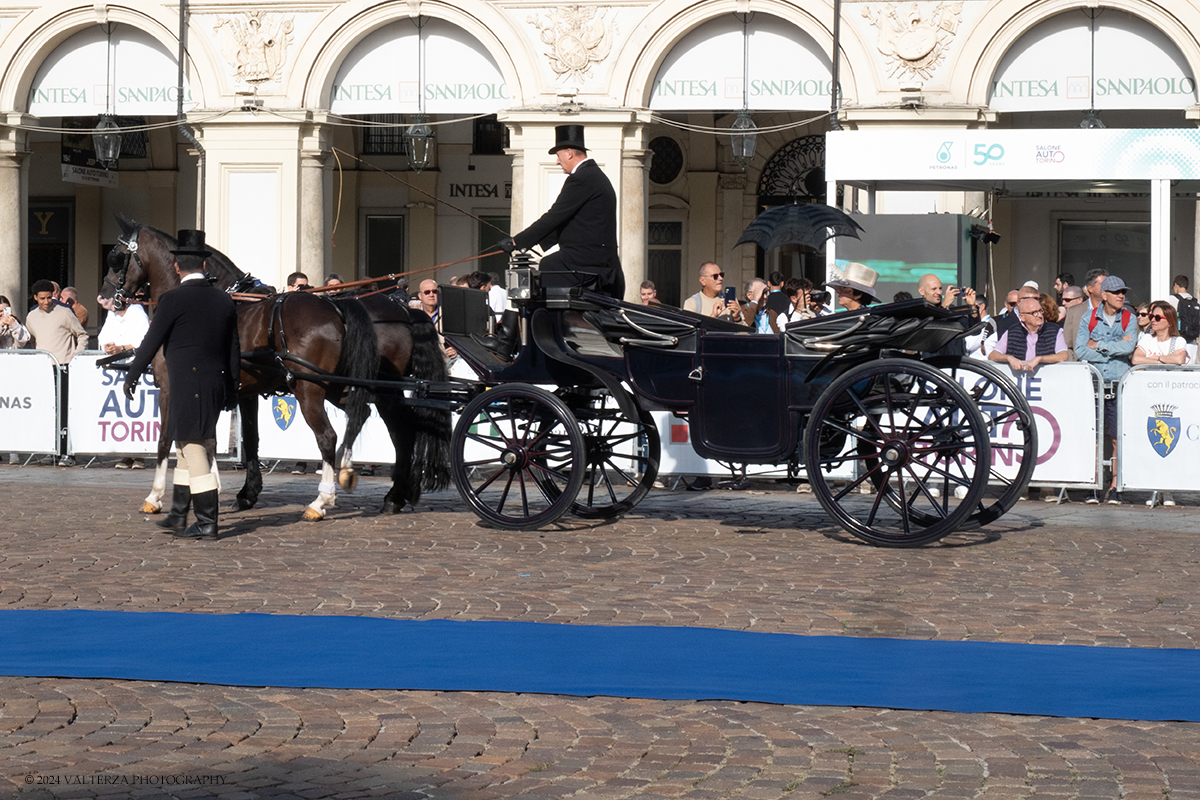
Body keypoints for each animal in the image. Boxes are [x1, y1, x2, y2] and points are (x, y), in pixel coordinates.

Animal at [100, 215, 451, 520]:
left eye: (116, 257)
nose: (105, 296)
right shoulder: (243, 392)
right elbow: (243, 440)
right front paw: (240, 491)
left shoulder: (174, 386)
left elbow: (168, 439)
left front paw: (157, 495)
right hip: (361, 388)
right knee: (397, 428)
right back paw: (395, 494)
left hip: (316, 389)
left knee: (333, 435)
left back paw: (324, 499)